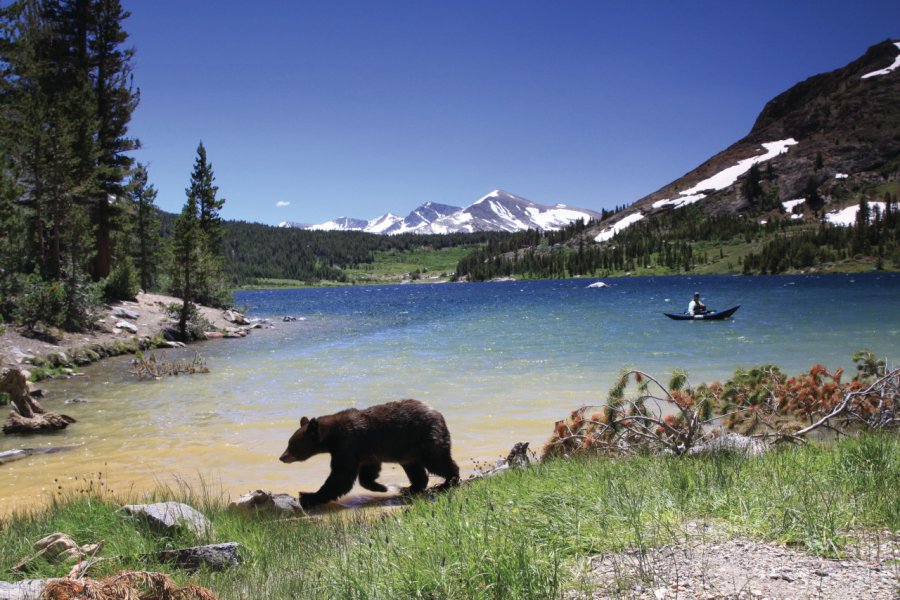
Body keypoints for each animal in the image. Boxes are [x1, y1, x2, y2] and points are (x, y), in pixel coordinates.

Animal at [280, 398, 464, 506]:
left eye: (292, 444)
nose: (282, 457)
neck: (332, 437)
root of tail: (438, 413)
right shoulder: (365, 452)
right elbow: (366, 473)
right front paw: (381, 487)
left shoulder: (348, 444)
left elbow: (341, 476)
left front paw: (308, 495)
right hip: (408, 451)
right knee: (415, 469)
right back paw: (410, 488)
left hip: (426, 437)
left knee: (437, 461)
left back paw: (448, 482)